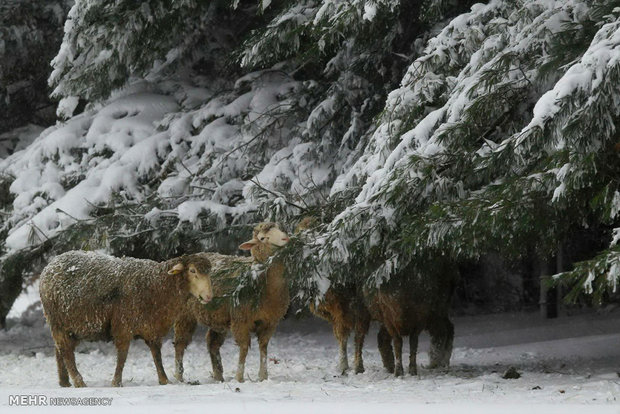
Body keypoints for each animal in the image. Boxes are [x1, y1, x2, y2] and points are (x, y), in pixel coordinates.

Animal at [39, 249, 213, 388]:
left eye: (209, 272)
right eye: (192, 271)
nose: (209, 296)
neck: (156, 285)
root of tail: (50, 265)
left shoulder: (152, 328)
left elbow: (157, 355)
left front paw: (164, 380)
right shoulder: (123, 326)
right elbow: (122, 356)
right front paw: (117, 382)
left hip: (72, 327)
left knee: (59, 350)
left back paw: (64, 382)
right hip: (58, 322)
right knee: (66, 352)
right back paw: (79, 382)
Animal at [173, 223, 292, 382]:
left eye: (279, 228)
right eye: (262, 238)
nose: (285, 238)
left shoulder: (270, 322)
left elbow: (263, 347)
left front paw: (263, 376)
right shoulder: (240, 320)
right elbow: (244, 348)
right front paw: (239, 377)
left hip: (217, 318)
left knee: (212, 343)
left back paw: (218, 376)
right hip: (184, 315)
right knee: (180, 344)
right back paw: (179, 376)